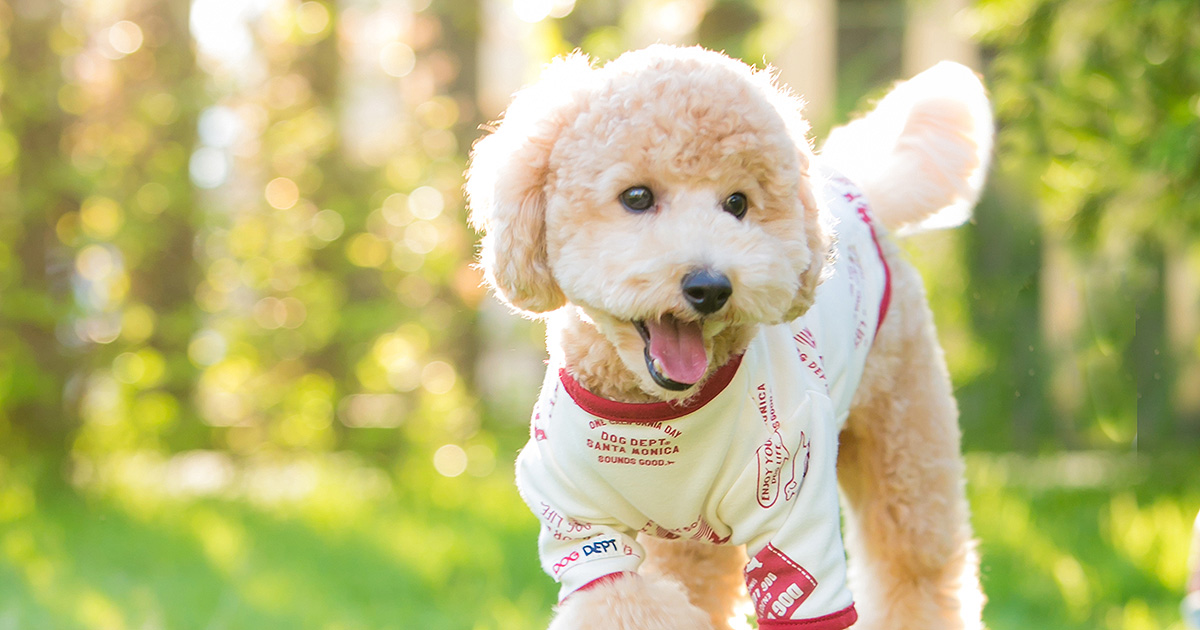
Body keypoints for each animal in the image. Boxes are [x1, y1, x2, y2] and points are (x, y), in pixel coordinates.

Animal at [468, 45, 993, 628]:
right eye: (636, 196)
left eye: (738, 204)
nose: (710, 286)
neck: (657, 414)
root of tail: (855, 190)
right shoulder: (580, 530)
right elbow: (624, 595)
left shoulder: (795, 503)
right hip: (689, 531)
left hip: (904, 429)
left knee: (915, 563)